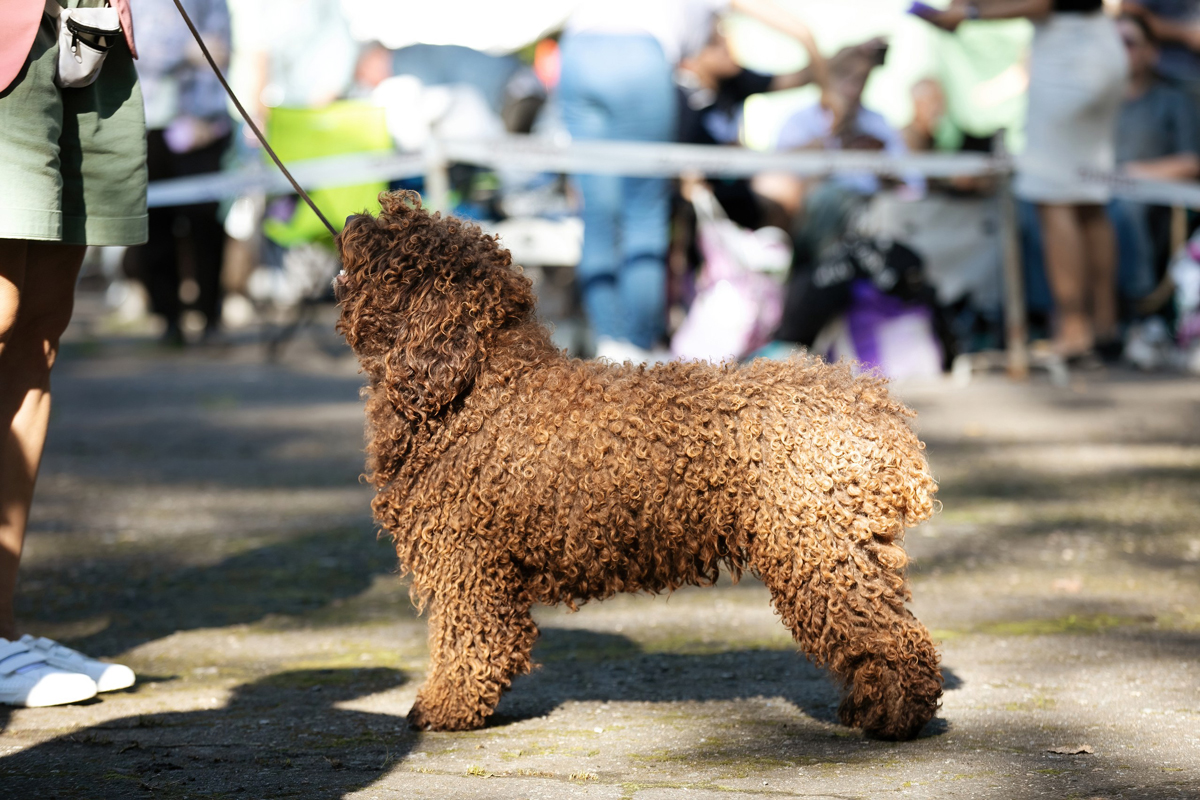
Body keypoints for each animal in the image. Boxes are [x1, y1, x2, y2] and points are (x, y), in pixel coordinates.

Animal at [333, 190, 940, 743]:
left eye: (397, 248)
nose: (350, 220)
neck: (477, 388)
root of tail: (873, 406)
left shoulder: (466, 561)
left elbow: (468, 645)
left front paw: (443, 710)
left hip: (820, 550)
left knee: (891, 638)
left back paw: (892, 720)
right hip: (846, 546)